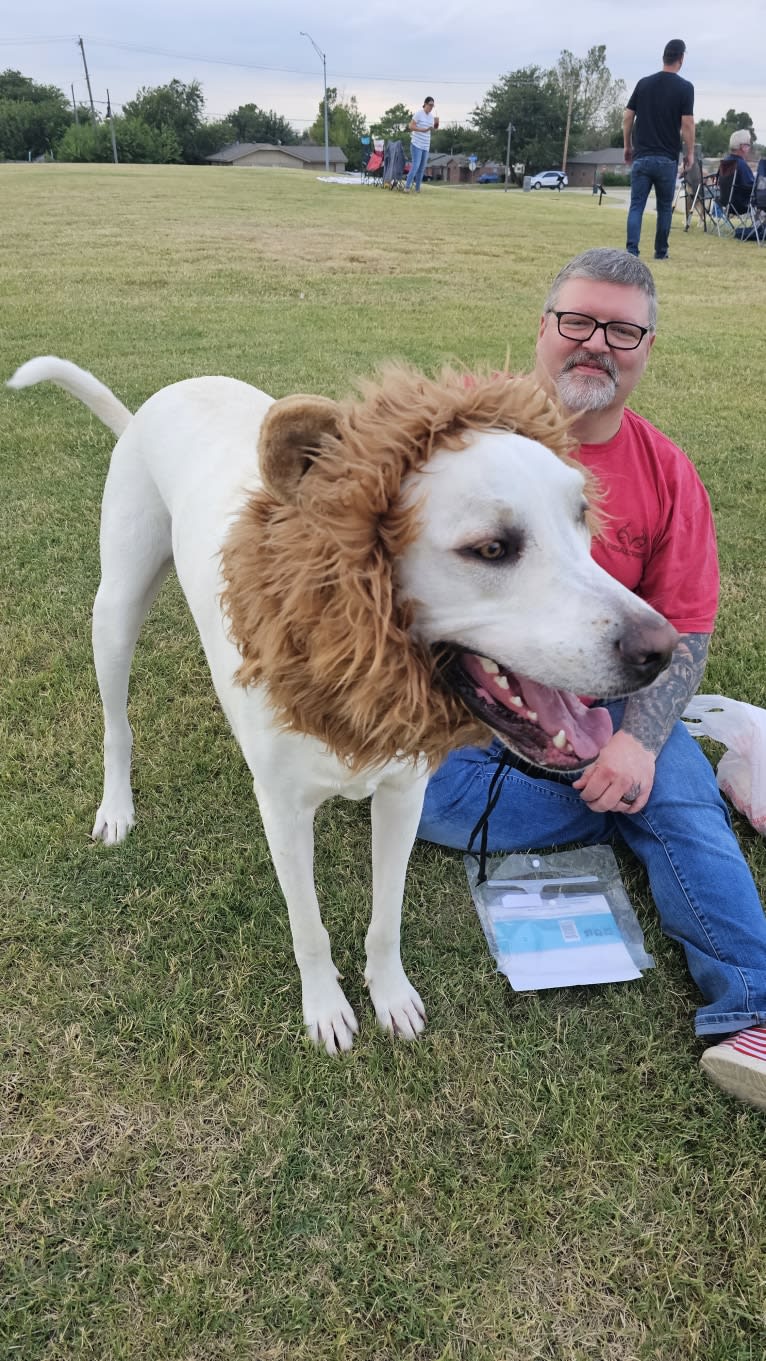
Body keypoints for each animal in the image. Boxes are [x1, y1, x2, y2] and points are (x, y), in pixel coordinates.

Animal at [7, 359, 677, 1050]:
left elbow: (386, 917)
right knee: (117, 723)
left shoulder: (403, 796)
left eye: (582, 517)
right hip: (115, 610)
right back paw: (116, 807)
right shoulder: (283, 814)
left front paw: (391, 995)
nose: (663, 649)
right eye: (491, 548)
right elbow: (308, 927)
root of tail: (154, 403)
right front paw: (325, 1008)